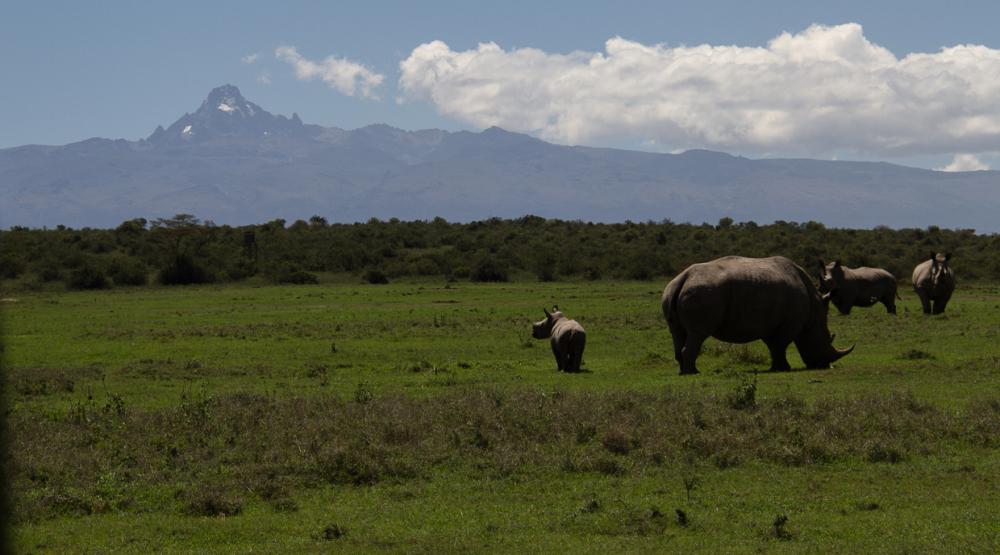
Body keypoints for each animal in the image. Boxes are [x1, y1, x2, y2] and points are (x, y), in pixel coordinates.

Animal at [661, 256, 854, 374]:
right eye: (826, 339)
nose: (824, 365)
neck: (814, 313)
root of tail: (683, 278)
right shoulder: (790, 325)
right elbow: (780, 345)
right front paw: (784, 369)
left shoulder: (770, 324)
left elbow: (774, 346)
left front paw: (778, 368)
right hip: (702, 293)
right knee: (698, 334)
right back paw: (693, 372)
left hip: (672, 291)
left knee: (677, 332)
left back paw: (684, 371)